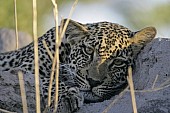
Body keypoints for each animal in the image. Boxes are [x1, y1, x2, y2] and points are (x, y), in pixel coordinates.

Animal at [0, 19, 157, 112]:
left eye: (118, 62)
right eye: (89, 51)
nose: (93, 81)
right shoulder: (22, 69)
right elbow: (48, 78)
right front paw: (65, 97)